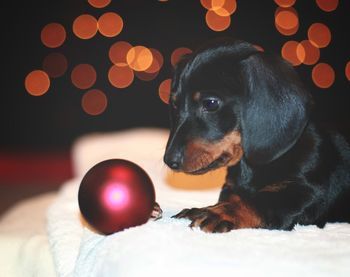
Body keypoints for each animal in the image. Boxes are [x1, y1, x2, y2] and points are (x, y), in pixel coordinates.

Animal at [163, 38, 350, 232]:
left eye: (211, 103)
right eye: (175, 104)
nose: (169, 161)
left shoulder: (309, 194)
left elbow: (258, 203)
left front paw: (218, 212)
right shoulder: (231, 188)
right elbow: (236, 196)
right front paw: (204, 208)